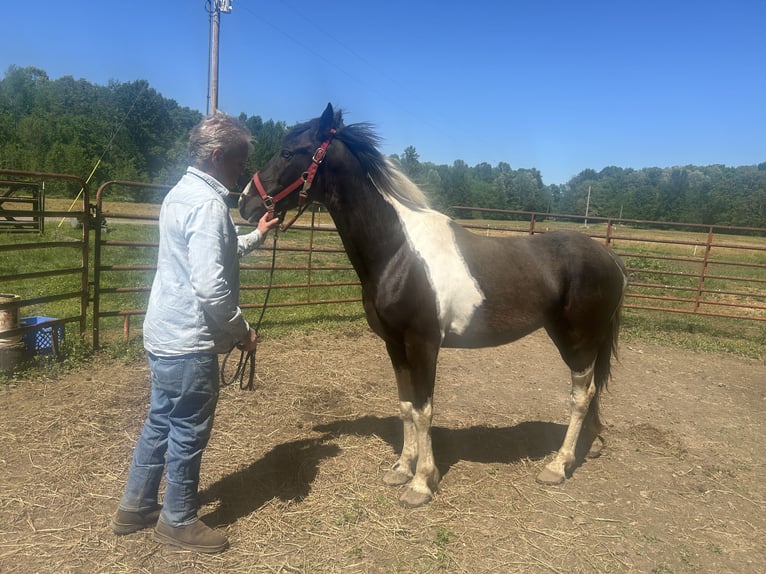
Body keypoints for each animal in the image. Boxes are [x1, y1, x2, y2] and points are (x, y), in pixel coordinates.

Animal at [239, 103, 628, 508]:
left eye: (287, 152)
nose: (245, 202)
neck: (399, 251)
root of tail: (610, 257)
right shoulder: (395, 345)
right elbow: (406, 406)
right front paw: (401, 468)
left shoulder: (423, 344)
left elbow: (424, 410)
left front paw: (422, 483)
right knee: (591, 391)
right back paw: (590, 446)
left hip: (578, 339)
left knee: (581, 396)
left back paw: (558, 466)